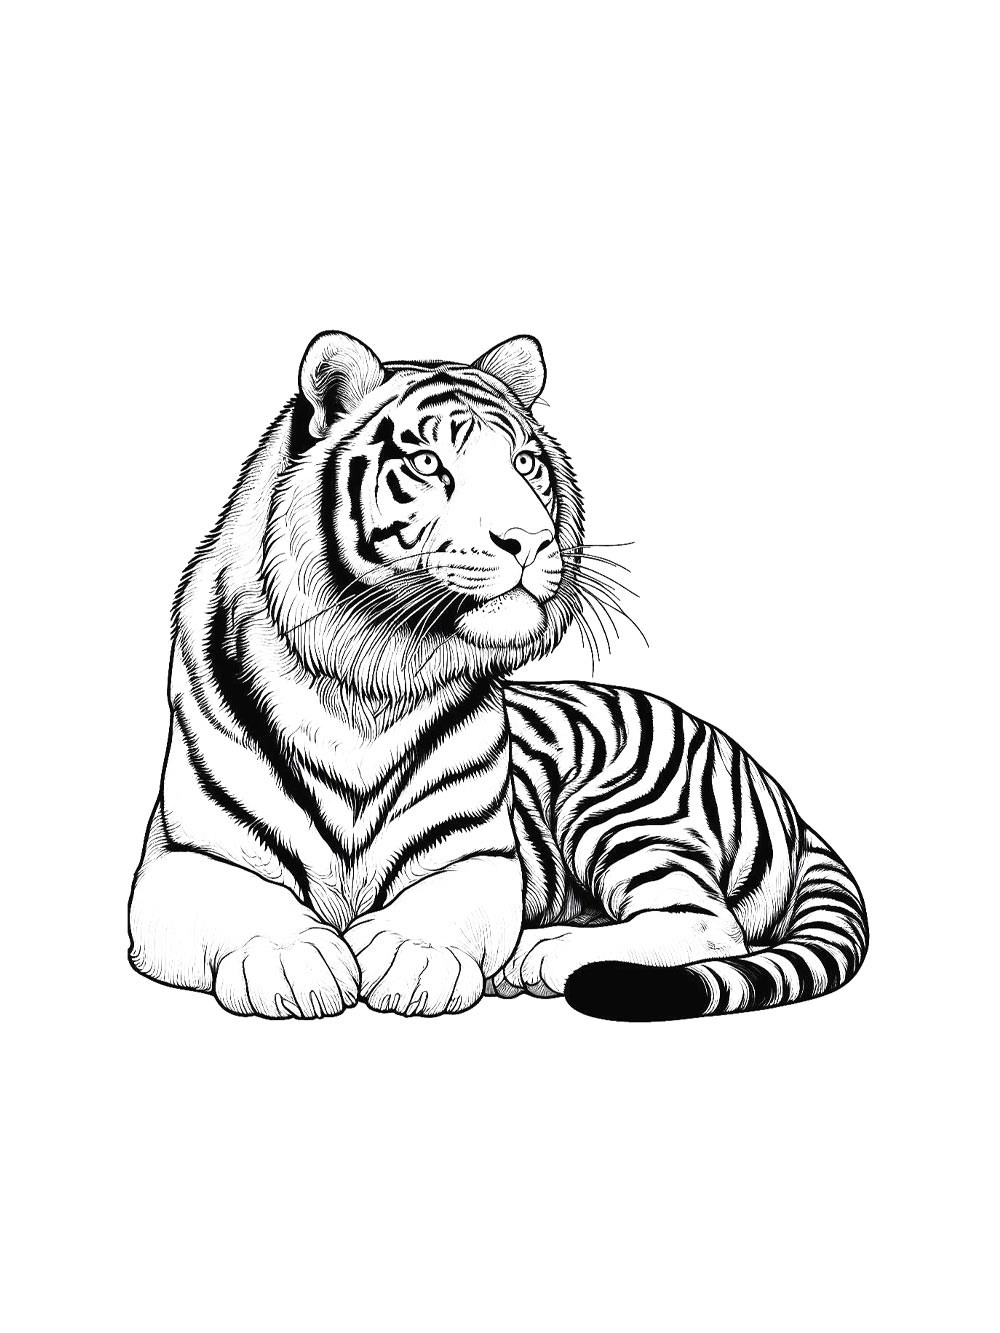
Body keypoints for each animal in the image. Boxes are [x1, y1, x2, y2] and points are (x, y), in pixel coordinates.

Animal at [128, 329, 868, 1021]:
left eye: (525, 464)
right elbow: (243, 907)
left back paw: (545, 953)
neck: (368, 677)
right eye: (427, 464)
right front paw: (291, 961)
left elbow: (438, 910)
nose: (531, 539)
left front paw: (413, 959)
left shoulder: (475, 857)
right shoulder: (184, 856)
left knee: (712, 926)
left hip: (629, 809)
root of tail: (784, 800)